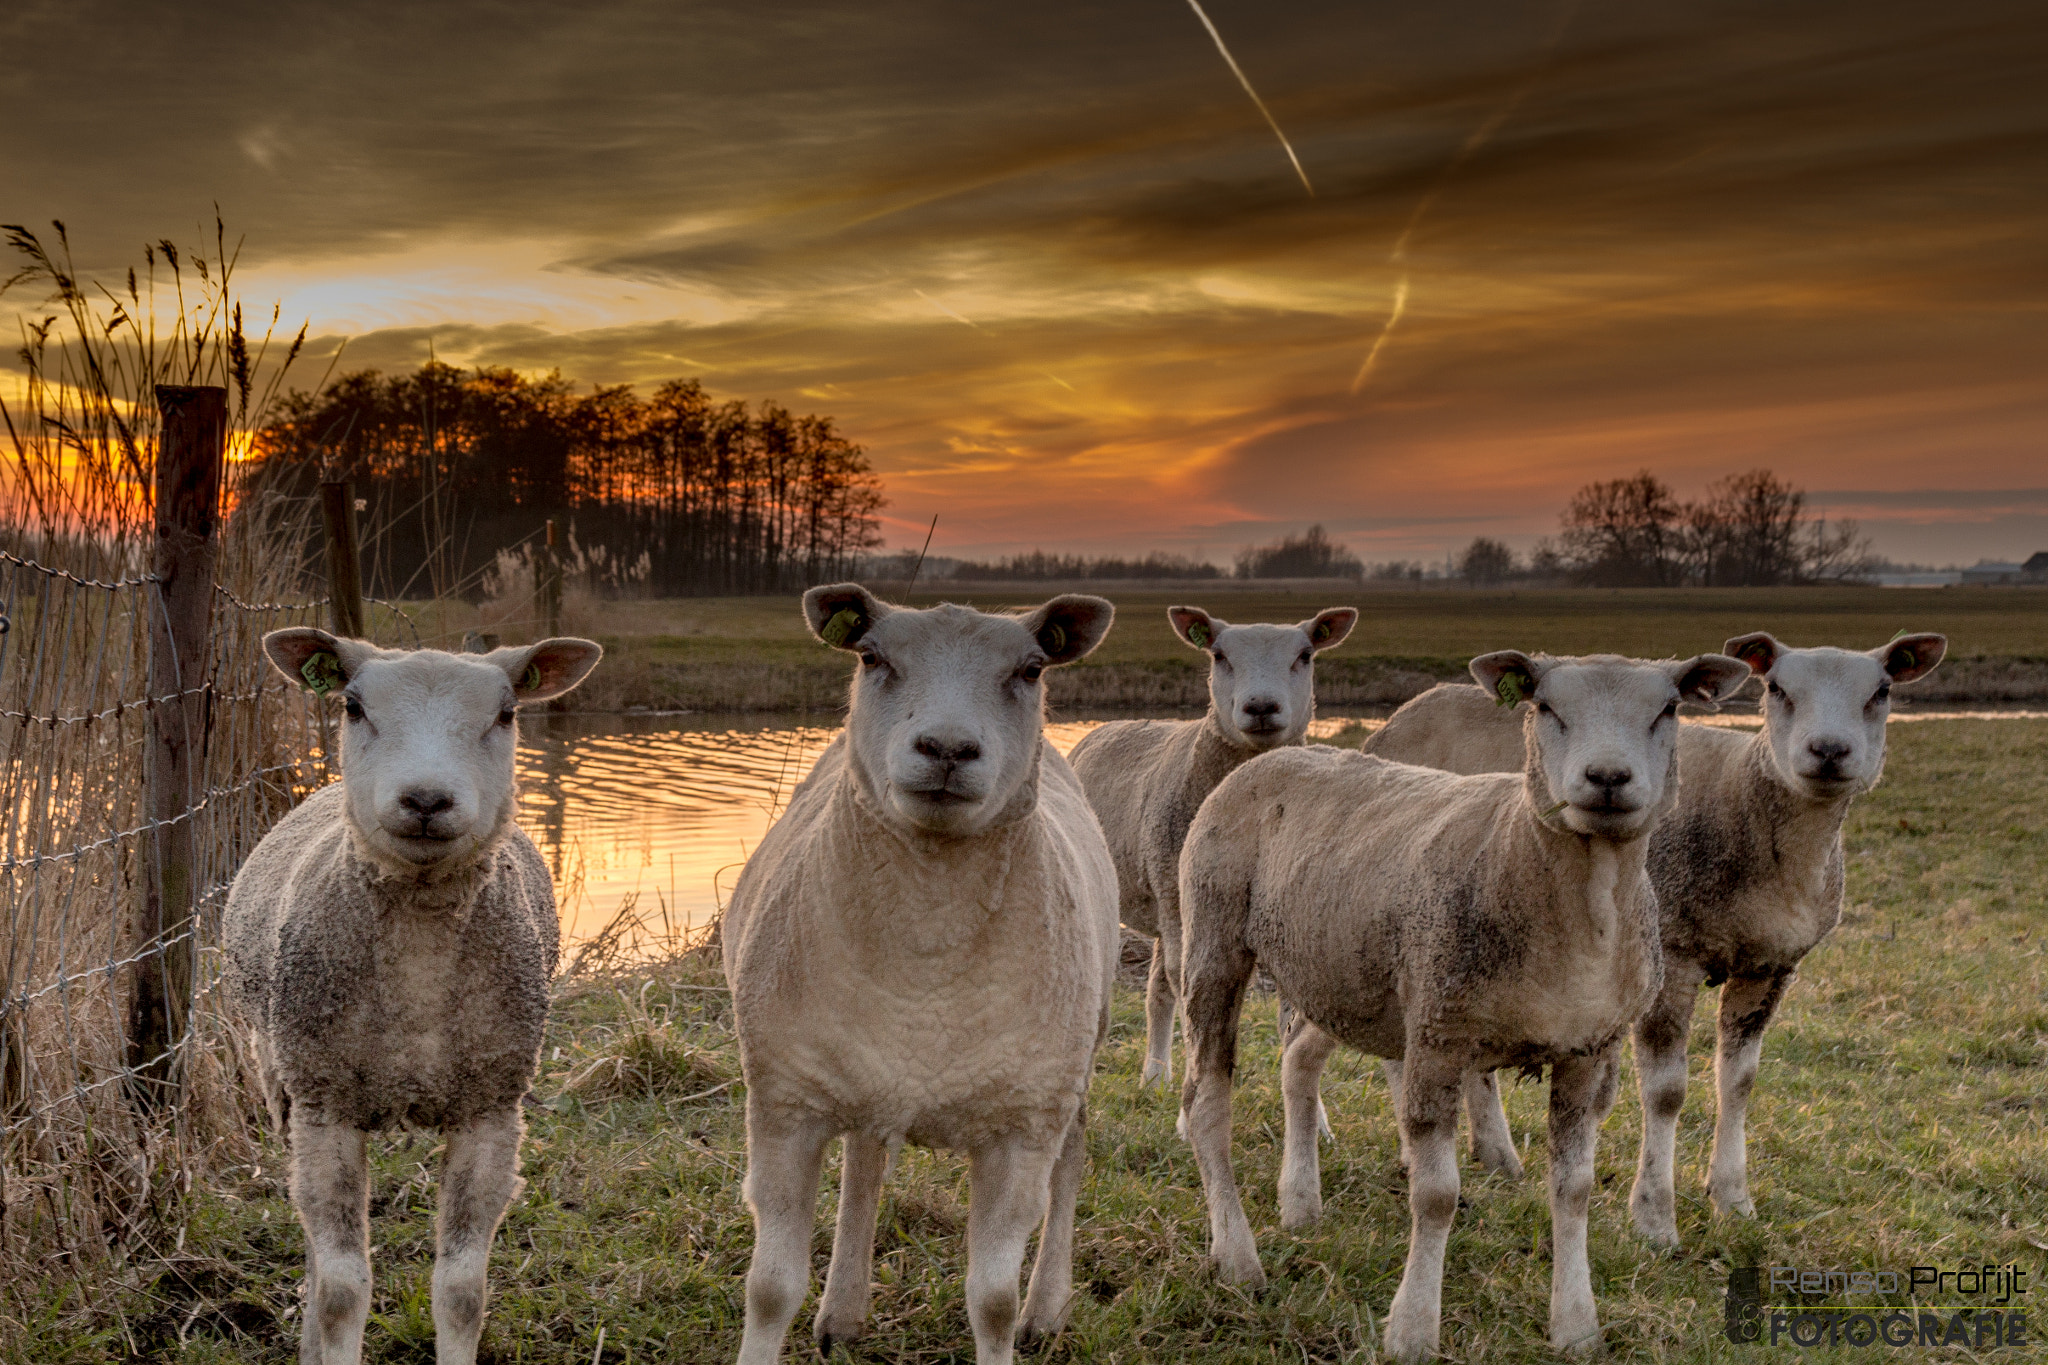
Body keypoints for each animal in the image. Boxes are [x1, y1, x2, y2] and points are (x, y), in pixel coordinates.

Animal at [225, 629, 602, 1365]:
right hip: (280, 1079)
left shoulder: (492, 1107)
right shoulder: (324, 1103)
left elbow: (461, 1289)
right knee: (315, 1247)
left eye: (507, 713)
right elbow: (342, 1289)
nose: (426, 799)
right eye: (353, 706)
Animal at [721, 585, 1119, 1365]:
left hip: (1078, 1058)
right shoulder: (785, 1103)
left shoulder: (1022, 1124)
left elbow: (991, 1302)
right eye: (872, 657)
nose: (947, 749)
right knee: (866, 1163)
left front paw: (1013, 1322)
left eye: (1031, 668)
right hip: (866, 1074)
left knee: (1071, 1165)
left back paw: (1046, 1310)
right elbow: (771, 1287)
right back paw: (843, 1311)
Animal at [1067, 605, 1356, 1092]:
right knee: (1164, 980)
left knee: (1157, 986)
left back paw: (1154, 1073)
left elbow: (1287, 1011)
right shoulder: (1176, 895)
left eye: (1305, 655)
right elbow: (1189, 990)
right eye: (1219, 655)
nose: (1261, 706)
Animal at [1178, 650, 1749, 1361]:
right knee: (1207, 1105)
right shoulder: (1437, 1035)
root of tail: (1275, 759)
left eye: (1668, 708)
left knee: (1299, 1061)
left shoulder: (1589, 1049)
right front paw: (1412, 1329)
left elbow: (1575, 1189)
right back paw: (1236, 1256)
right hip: (1214, 939)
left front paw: (1576, 1324)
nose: (1608, 778)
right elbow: (1436, 1196)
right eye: (1544, 706)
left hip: (1344, 976)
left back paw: (1300, 1203)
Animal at [1361, 631, 1947, 1247]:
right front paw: (1653, 1217)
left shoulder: (1770, 966)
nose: (1829, 750)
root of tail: (1410, 707)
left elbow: (1740, 1081)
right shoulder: (1673, 957)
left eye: (1882, 692)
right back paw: (1417, 1156)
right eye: (1777, 689)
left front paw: (1733, 1197)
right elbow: (1666, 1093)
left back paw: (1498, 1155)